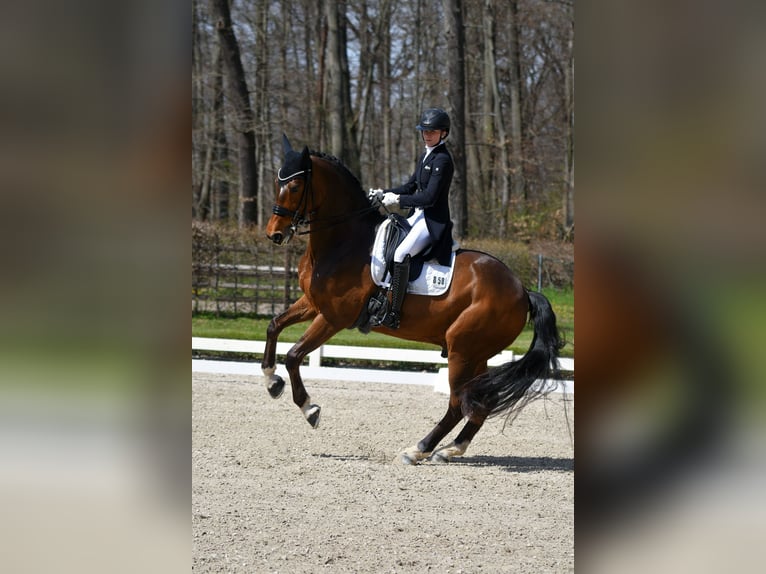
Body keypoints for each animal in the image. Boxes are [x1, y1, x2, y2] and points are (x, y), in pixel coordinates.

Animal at [262, 135, 564, 464]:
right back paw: (450, 450)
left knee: (458, 402)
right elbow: (274, 325)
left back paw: (419, 449)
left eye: (294, 186)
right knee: (481, 402)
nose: (274, 234)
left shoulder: (333, 317)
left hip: (461, 349)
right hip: (476, 353)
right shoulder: (313, 303)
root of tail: (522, 290)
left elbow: (294, 355)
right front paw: (271, 380)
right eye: (277, 181)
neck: (343, 242)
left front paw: (309, 408)